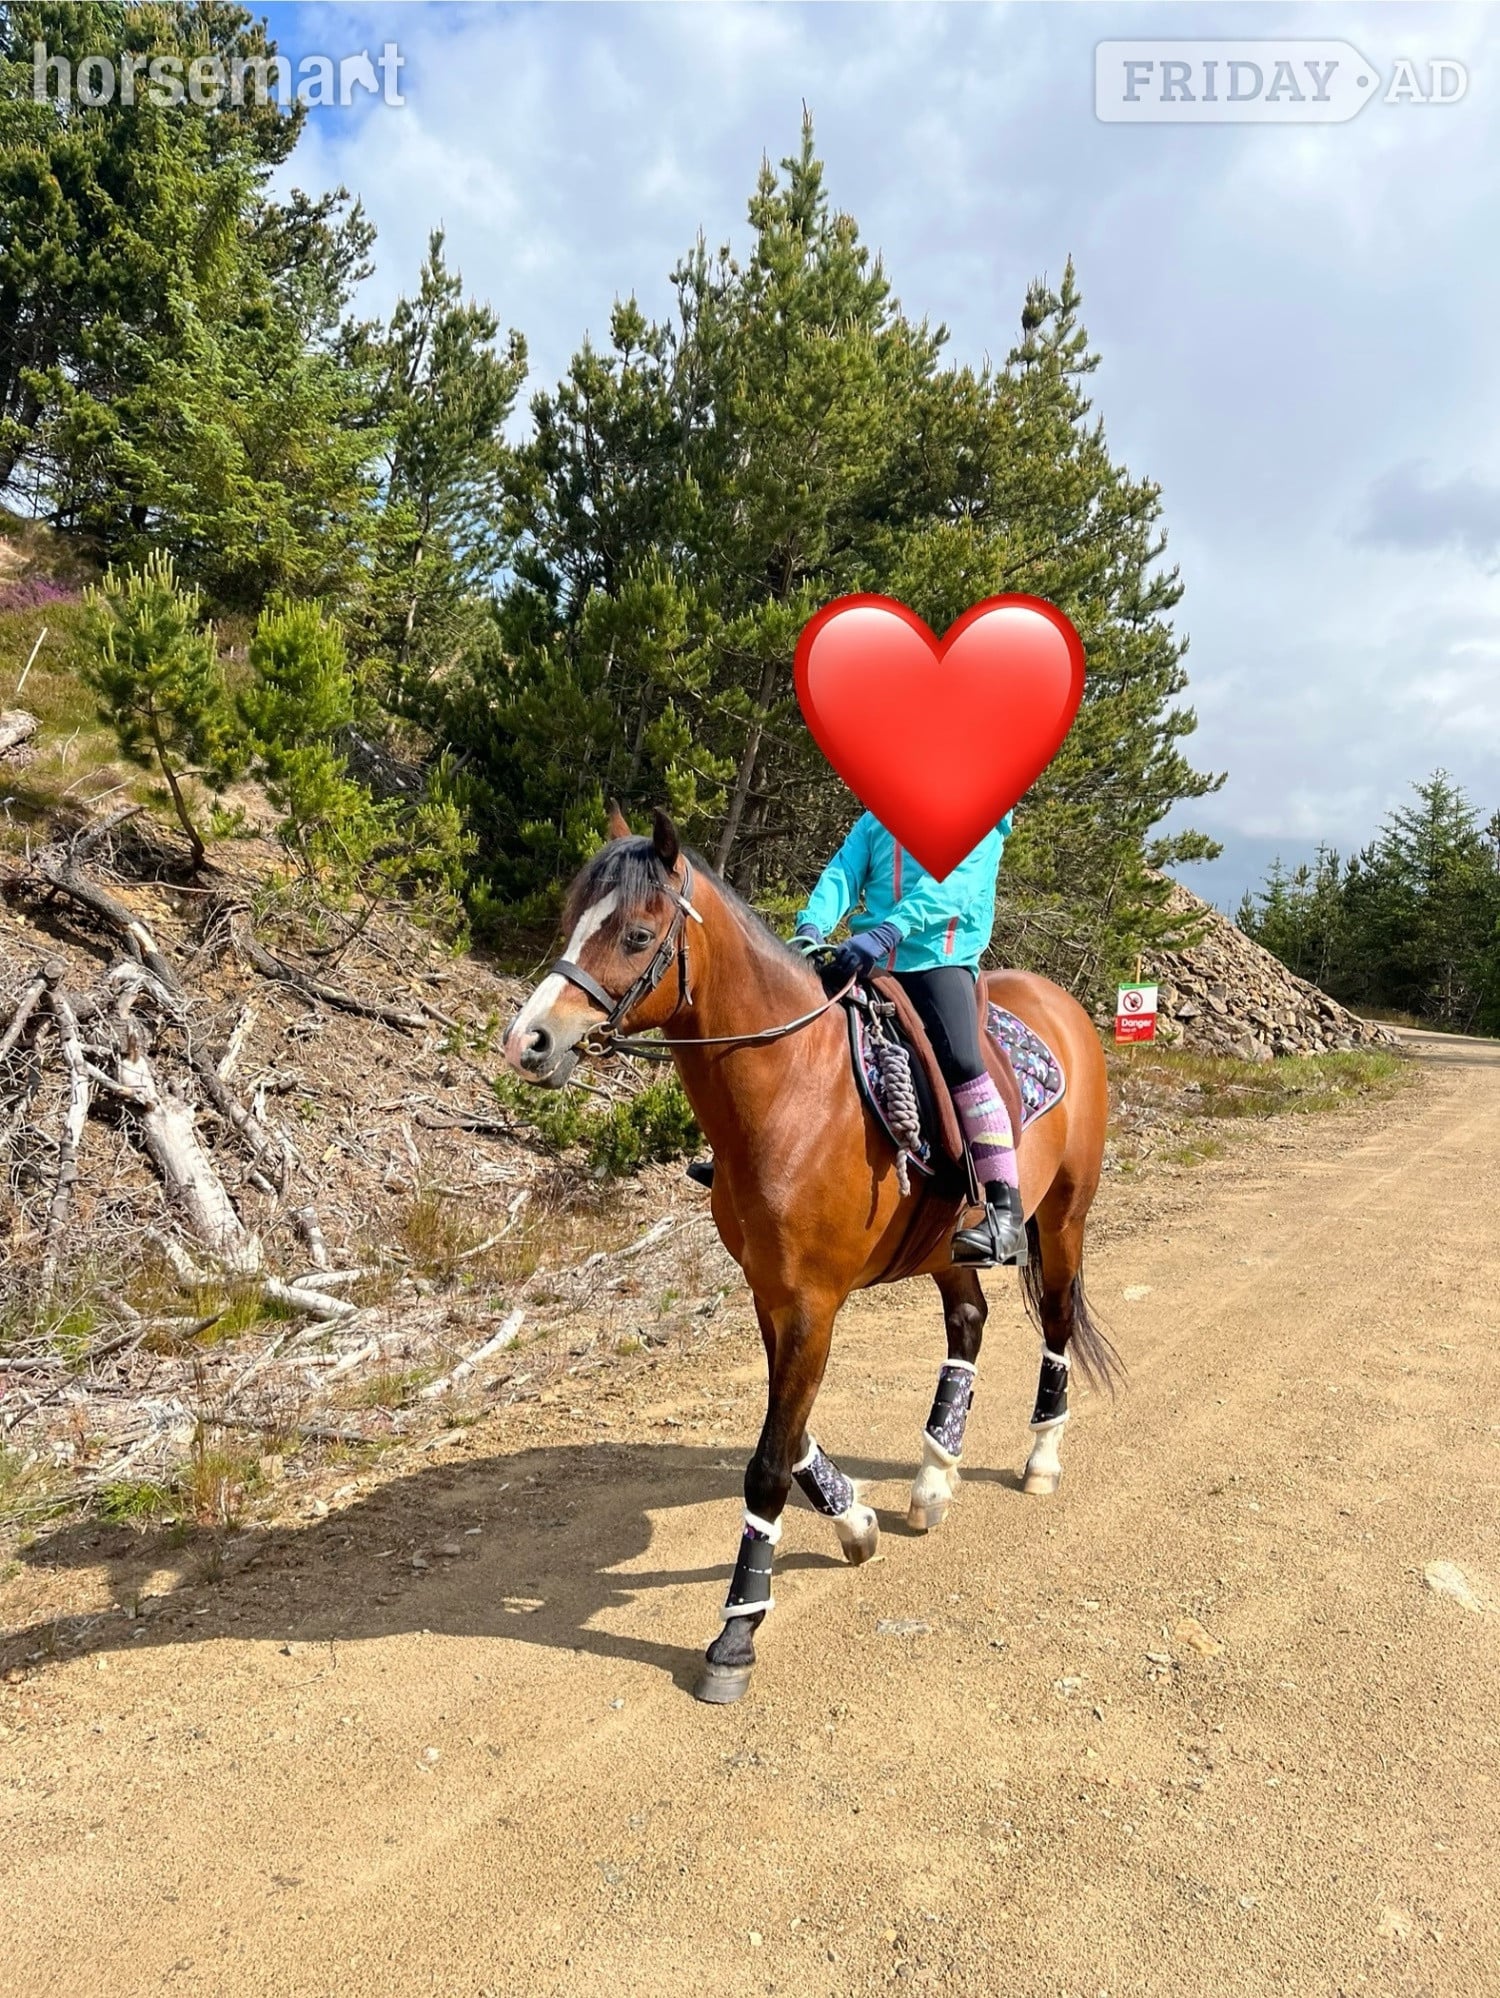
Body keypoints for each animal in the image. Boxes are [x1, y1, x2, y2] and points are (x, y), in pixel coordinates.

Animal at [502, 806, 1119, 1703]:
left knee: (1058, 1321)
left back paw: (1040, 1456)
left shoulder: (811, 1304)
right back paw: (933, 1477)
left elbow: (767, 1463)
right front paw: (856, 1522)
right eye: (569, 920)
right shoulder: (772, 1296)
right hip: (946, 1246)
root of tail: (1062, 1004)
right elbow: (788, 1438)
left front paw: (736, 1634)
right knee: (969, 1322)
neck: (793, 1089)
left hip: (1065, 1218)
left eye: (637, 933)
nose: (529, 1041)